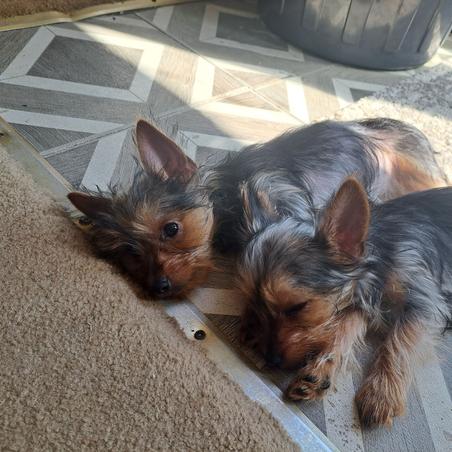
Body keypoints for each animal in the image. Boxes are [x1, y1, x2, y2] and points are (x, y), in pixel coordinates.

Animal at [237, 176, 452, 426]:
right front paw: (320, 372)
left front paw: (382, 393)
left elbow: (401, 342)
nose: (272, 360)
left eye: (296, 307)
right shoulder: (359, 302)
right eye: (255, 306)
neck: (376, 259)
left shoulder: (423, 300)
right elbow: (342, 328)